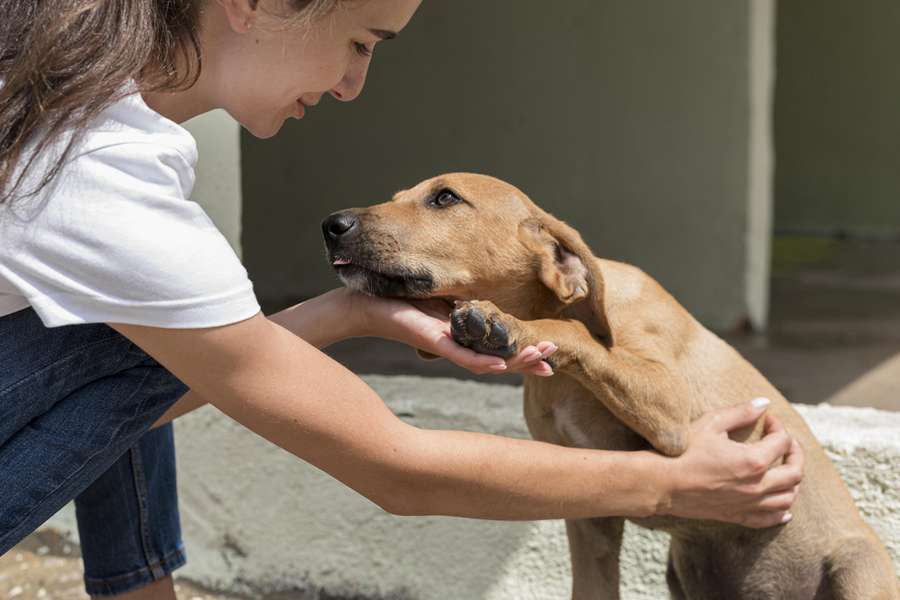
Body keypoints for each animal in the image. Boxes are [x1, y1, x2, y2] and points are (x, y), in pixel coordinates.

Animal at [320, 171, 896, 596]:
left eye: (445, 198)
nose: (331, 223)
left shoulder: (673, 411)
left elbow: (574, 334)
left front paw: (506, 325)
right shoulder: (590, 512)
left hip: (856, 566)